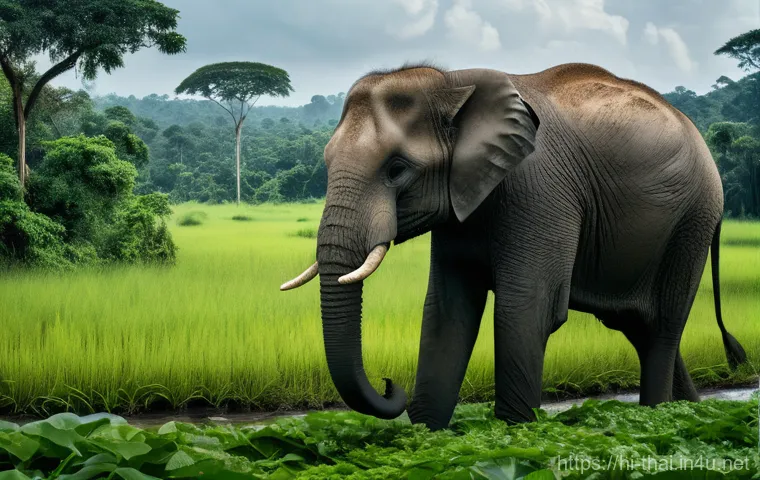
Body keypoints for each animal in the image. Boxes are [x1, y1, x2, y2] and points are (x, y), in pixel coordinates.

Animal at [281, 62, 748, 431]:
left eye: (397, 169)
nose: (389, 382)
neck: (453, 83)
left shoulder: (538, 190)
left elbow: (524, 308)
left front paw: (516, 435)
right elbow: (446, 311)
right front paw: (426, 438)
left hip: (691, 222)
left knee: (662, 327)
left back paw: (658, 417)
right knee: (639, 328)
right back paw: (689, 414)